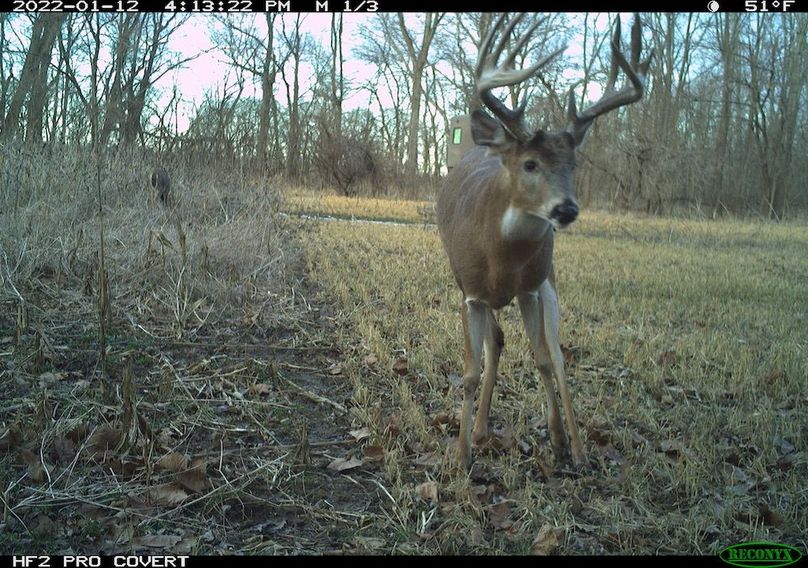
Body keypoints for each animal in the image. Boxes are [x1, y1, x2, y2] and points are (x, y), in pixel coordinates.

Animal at [436, 14, 651, 469]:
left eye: (572, 164)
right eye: (530, 164)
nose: (566, 209)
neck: (500, 257)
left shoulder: (531, 287)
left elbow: (544, 361)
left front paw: (558, 442)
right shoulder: (471, 293)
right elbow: (470, 373)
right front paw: (461, 456)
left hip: (549, 283)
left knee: (556, 355)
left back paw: (580, 450)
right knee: (498, 344)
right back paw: (480, 430)